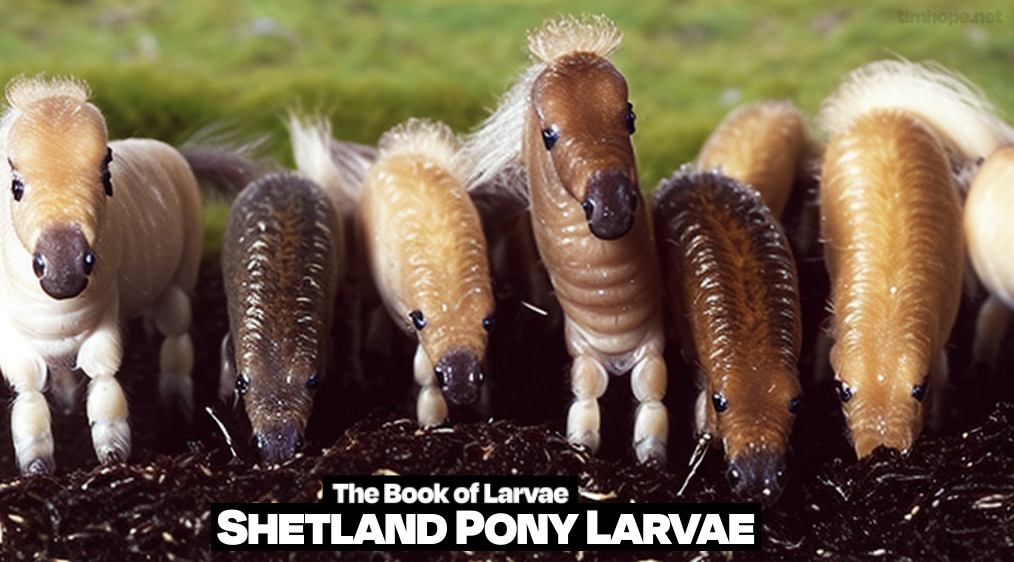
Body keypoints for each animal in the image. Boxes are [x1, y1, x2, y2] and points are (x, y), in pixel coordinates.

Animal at [0, 75, 203, 474]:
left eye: (106, 176)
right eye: (16, 185)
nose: (64, 270)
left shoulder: (104, 323)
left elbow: (106, 388)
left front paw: (113, 458)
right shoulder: (13, 337)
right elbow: (29, 397)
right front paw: (37, 469)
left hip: (179, 282)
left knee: (176, 341)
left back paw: (175, 411)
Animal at [462, 14, 668, 463]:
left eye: (630, 117)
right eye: (549, 134)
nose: (610, 209)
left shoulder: (650, 350)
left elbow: (651, 408)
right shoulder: (583, 355)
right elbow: (585, 416)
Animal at [817, 59, 1014, 458]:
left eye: (918, 390)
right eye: (842, 391)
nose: (882, 450)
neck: (885, 300)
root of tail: (882, 110)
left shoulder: (938, 346)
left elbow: (944, 375)